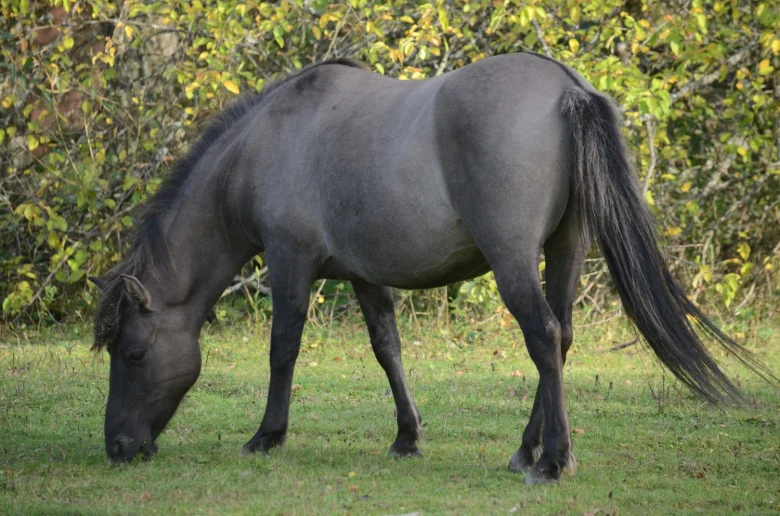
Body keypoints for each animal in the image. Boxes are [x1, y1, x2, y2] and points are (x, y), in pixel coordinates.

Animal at [89, 54, 773, 484]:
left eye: (133, 354)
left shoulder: (289, 261)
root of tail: (565, 90)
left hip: (512, 259)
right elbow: (387, 348)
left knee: (544, 336)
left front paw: (267, 435)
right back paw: (525, 451)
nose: (118, 449)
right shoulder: (364, 273)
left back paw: (553, 462)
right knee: (562, 339)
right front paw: (407, 437)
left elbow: (283, 347)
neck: (267, 142)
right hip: (567, 247)